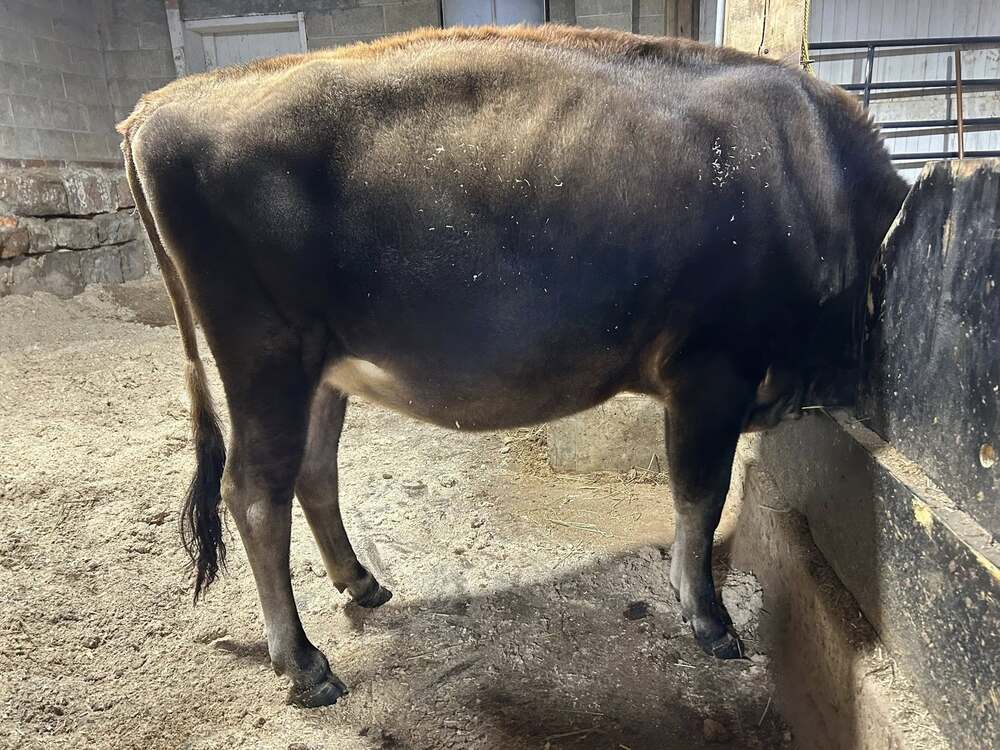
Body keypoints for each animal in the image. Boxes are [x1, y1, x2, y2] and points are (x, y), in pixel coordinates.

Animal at [118, 25, 907, 707]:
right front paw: (709, 620)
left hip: (321, 366)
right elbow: (699, 497)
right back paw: (306, 665)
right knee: (254, 491)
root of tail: (162, 105)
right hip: (265, 353)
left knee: (313, 469)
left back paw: (362, 583)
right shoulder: (713, 370)